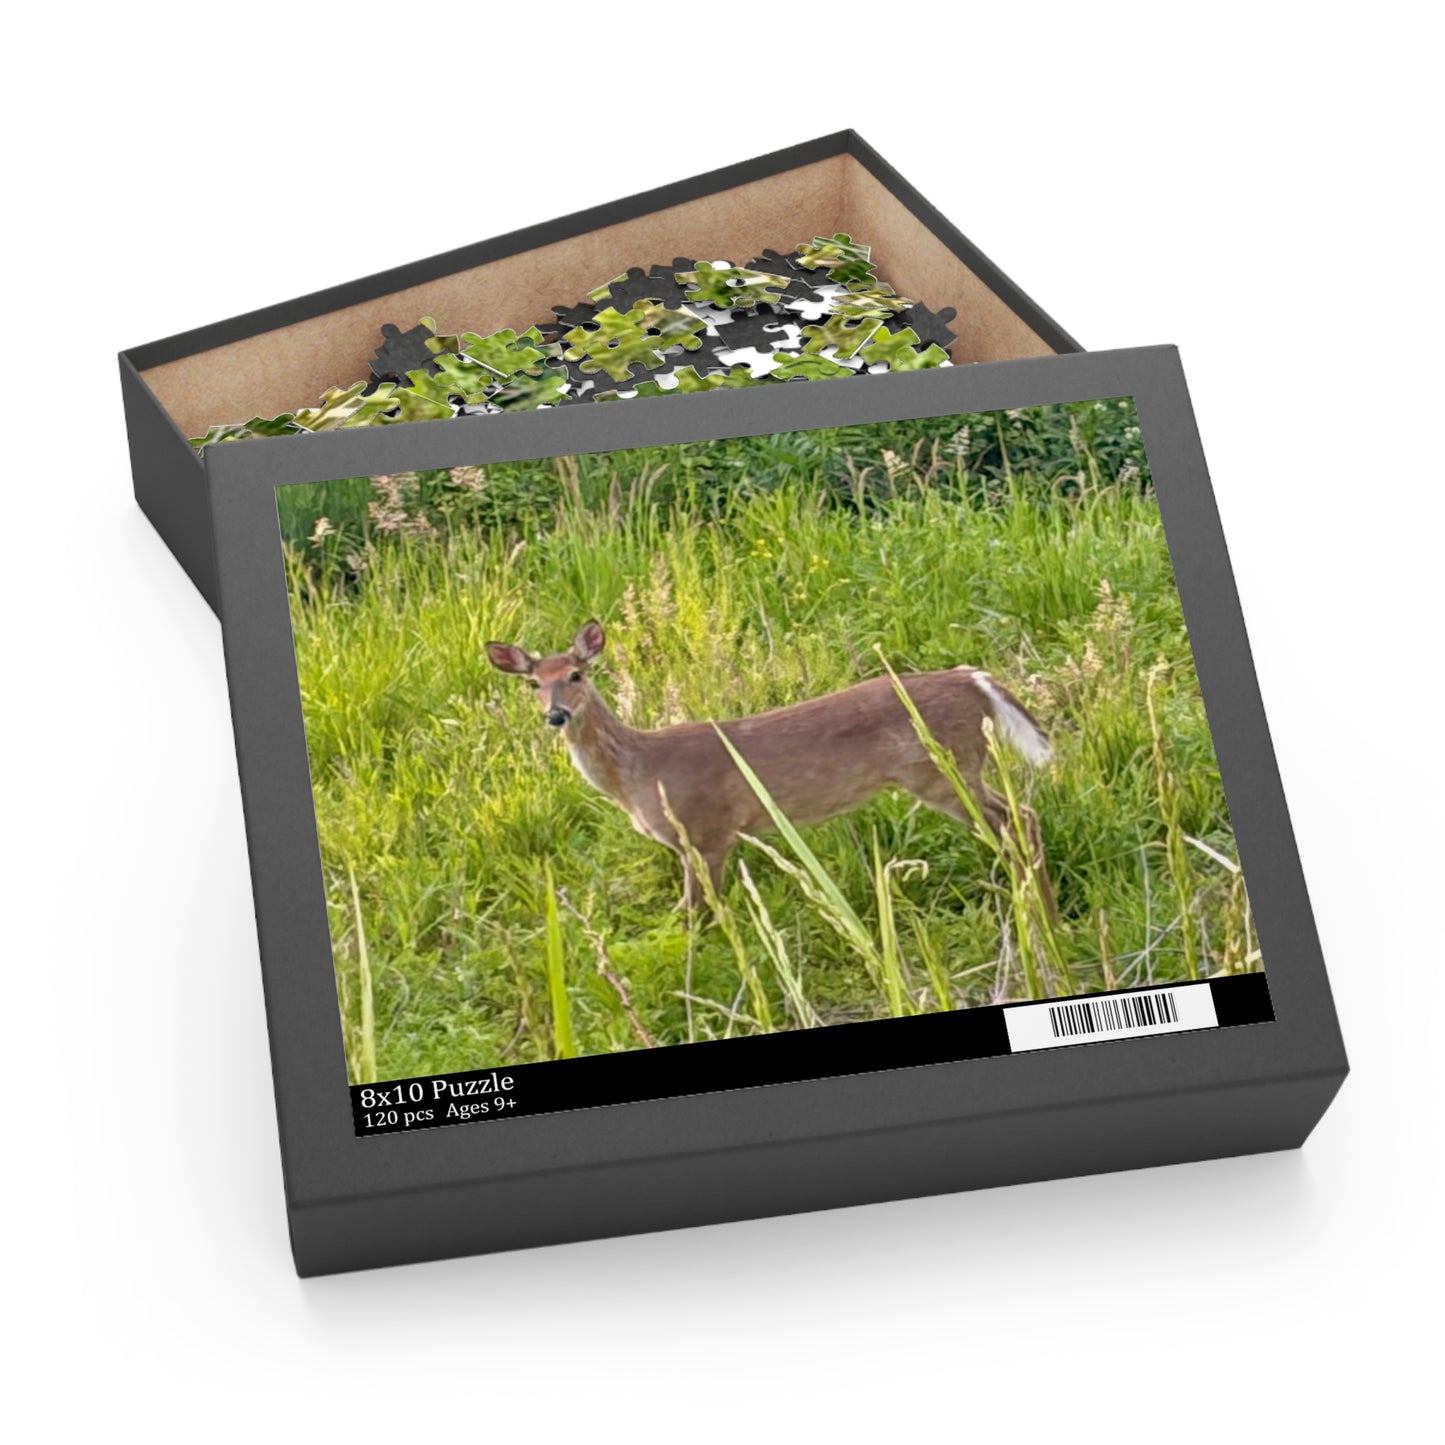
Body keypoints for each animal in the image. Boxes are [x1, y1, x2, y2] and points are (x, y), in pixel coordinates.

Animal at [486, 620, 1055, 915]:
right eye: (533, 682)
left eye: (577, 675)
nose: (556, 715)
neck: (639, 772)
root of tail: (974, 679)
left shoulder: (708, 831)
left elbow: (697, 913)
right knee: (1016, 817)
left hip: (944, 769)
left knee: (1017, 817)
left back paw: (1037, 910)